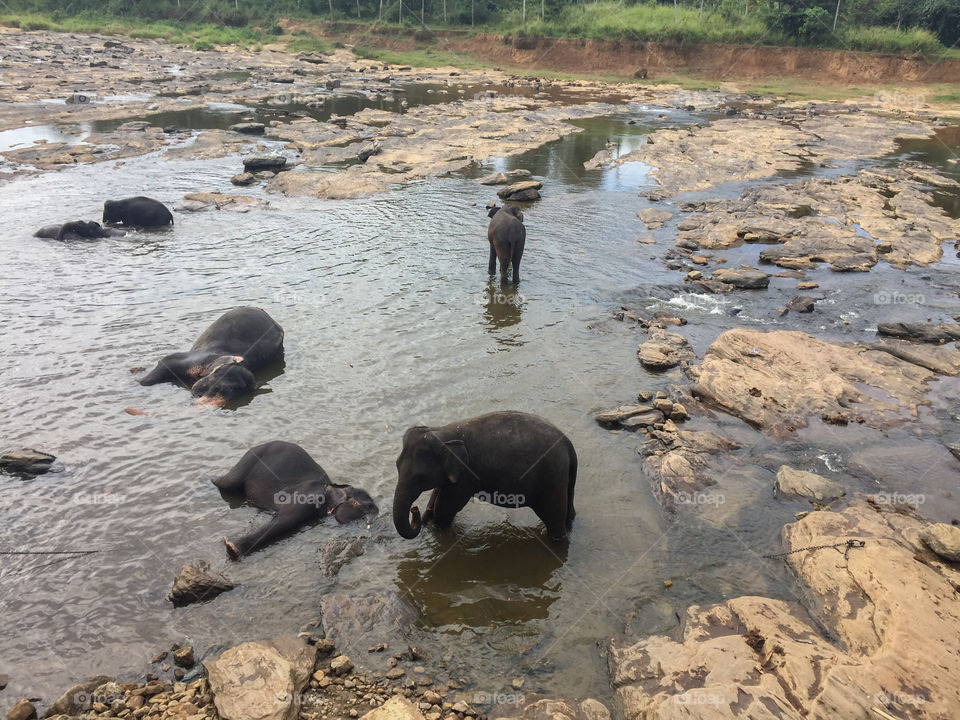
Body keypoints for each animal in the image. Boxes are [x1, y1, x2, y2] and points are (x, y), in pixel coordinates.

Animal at [214, 442, 378, 560]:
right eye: (362, 505)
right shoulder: (306, 497)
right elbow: (283, 521)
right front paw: (231, 548)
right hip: (250, 459)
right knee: (225, 482)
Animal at [392, 410, 576, 540]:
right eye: (396, 466)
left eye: (419, 477)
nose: (414, 509)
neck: (441, 431)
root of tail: (568, 444)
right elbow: (438, 495)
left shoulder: (466, 476)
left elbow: (445, 509)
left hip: (551, 479)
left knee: (554, 520)